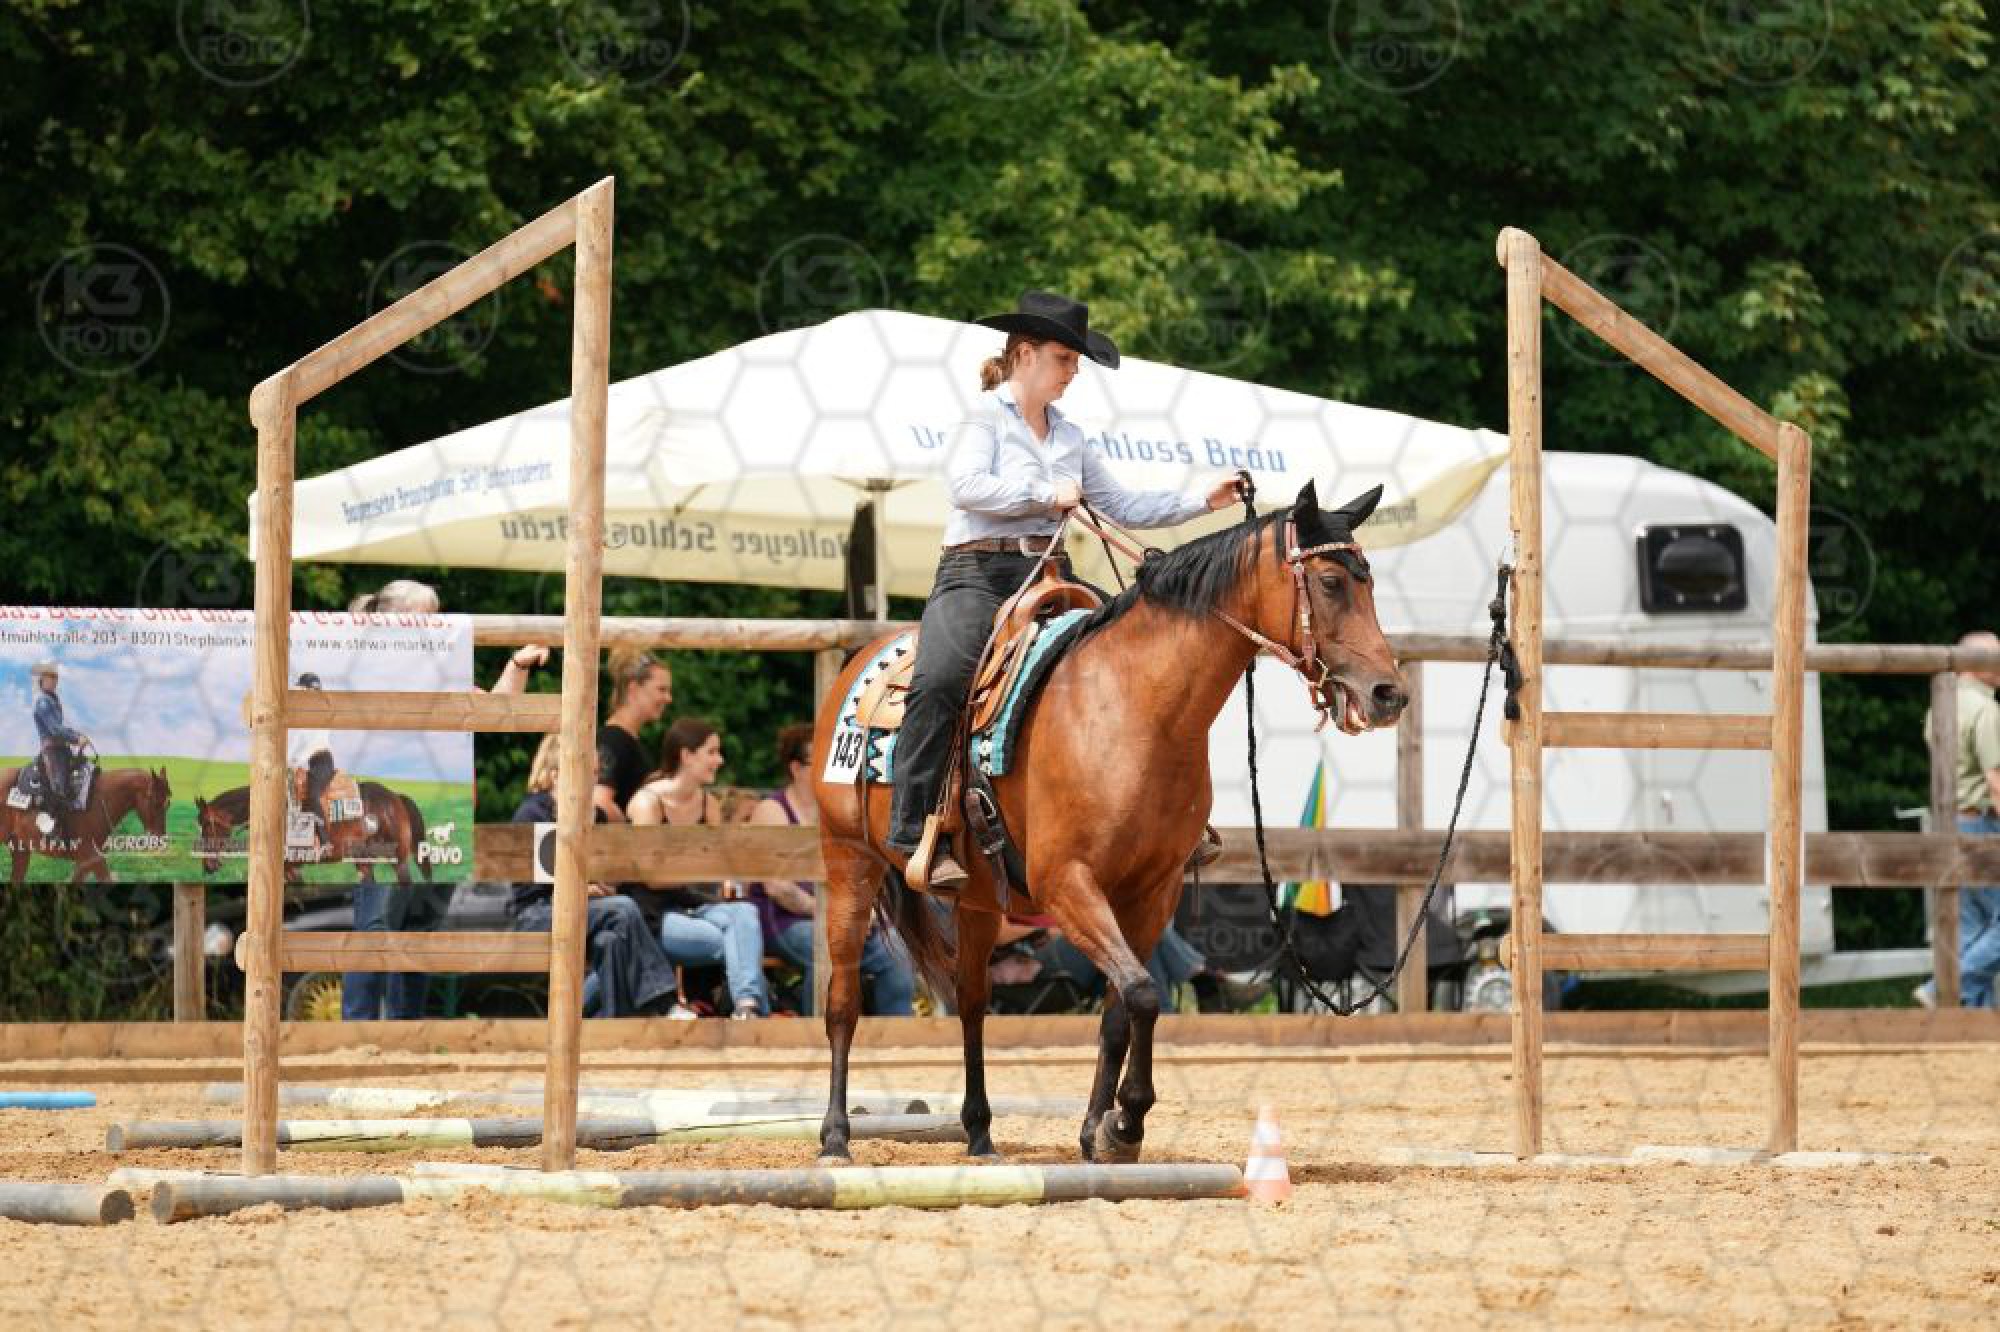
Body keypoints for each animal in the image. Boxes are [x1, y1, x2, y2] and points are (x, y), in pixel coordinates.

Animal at [0, 765, 172, 886]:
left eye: (167, 804)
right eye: (155, 803)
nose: (159, 839)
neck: (98, 802)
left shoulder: (84, 862)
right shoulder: (93, 857)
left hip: (20, 850)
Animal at [194, 780, 430, 886]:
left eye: (207, 825)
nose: (207, 866)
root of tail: (395, 797)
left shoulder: (291, 866)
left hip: (397, 858)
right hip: (362, 859)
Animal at [812, 480, 1407, 1164]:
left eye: (1369, 580)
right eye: (1332, 581)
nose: (1389, 694)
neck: (1136, 708)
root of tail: (863, 662)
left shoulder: (1151, 892)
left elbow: (1122, 1008)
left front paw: (1100, 1131)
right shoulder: (1067, 884)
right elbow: (1144, 993)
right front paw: (1124, 1126)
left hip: (980, 899)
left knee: (971, 1002)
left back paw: (981, 1133)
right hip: (849, 864)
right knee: (843, 1002)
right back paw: (835, 1138)